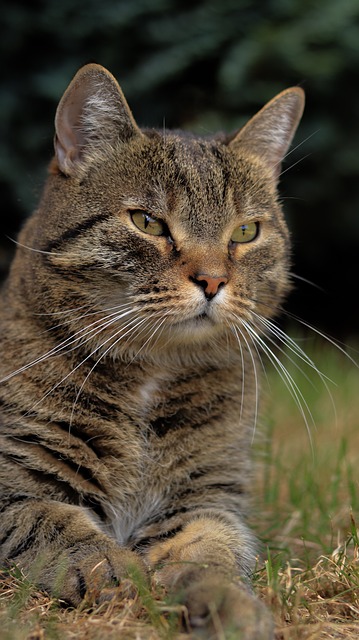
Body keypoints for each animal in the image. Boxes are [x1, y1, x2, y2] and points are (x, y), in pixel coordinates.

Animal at [0, 62, 306, 636]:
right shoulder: (14, 484)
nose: (212, 280)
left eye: (246, 232)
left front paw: (227, 603)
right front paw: (119, 574)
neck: (152, 374)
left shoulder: (204, 499)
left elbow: (213, 551)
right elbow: (55, 525)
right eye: (147, 222)